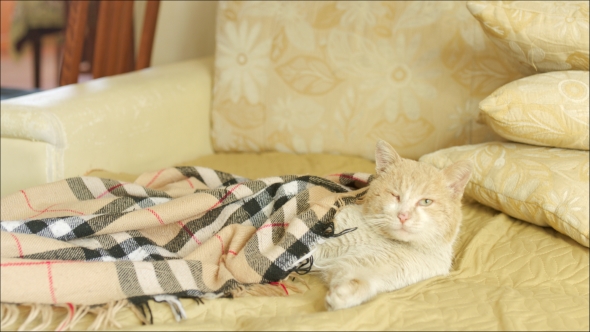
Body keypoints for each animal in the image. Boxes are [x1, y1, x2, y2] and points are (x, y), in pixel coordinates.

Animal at [316, 139, 474, 310]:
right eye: (395, 195)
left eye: (426, 202)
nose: (403, 216)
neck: (391, 242)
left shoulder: (369, 269)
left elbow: (358, 280)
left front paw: (341, 296)